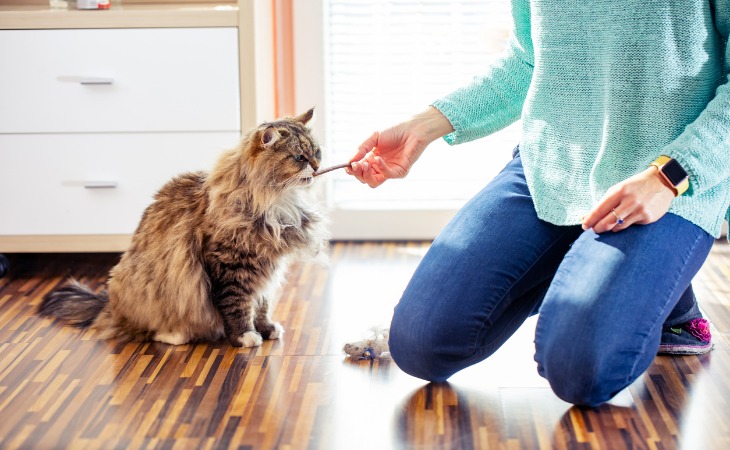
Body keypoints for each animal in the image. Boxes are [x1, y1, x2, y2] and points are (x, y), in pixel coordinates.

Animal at [38, 109, 326, 348]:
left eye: (317, 152)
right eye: (299, 157)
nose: (317, 167)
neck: (277, 201)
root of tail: (108, 303)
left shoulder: (268, 266)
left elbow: (262, 304)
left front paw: (266, 329)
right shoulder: (230, 266)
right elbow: (237, 305)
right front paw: (245, 337)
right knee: (145, 330)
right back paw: (175, 335)